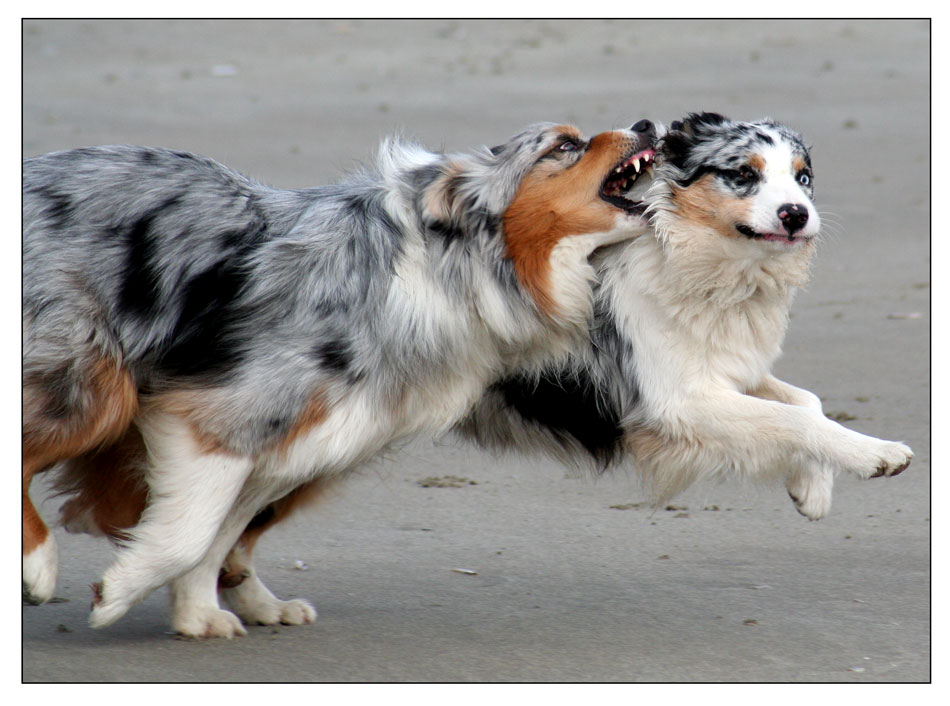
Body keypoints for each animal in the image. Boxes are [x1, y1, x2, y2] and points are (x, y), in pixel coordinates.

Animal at [24, 118, 660, 636]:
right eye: (564, 146)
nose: (648, 124)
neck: (438, 266)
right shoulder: (222, 414)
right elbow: (188, 533)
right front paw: (116, 594)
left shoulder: (291, 444)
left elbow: (213, 535)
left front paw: (196, 615)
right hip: (94, 390)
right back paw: (39, 568)